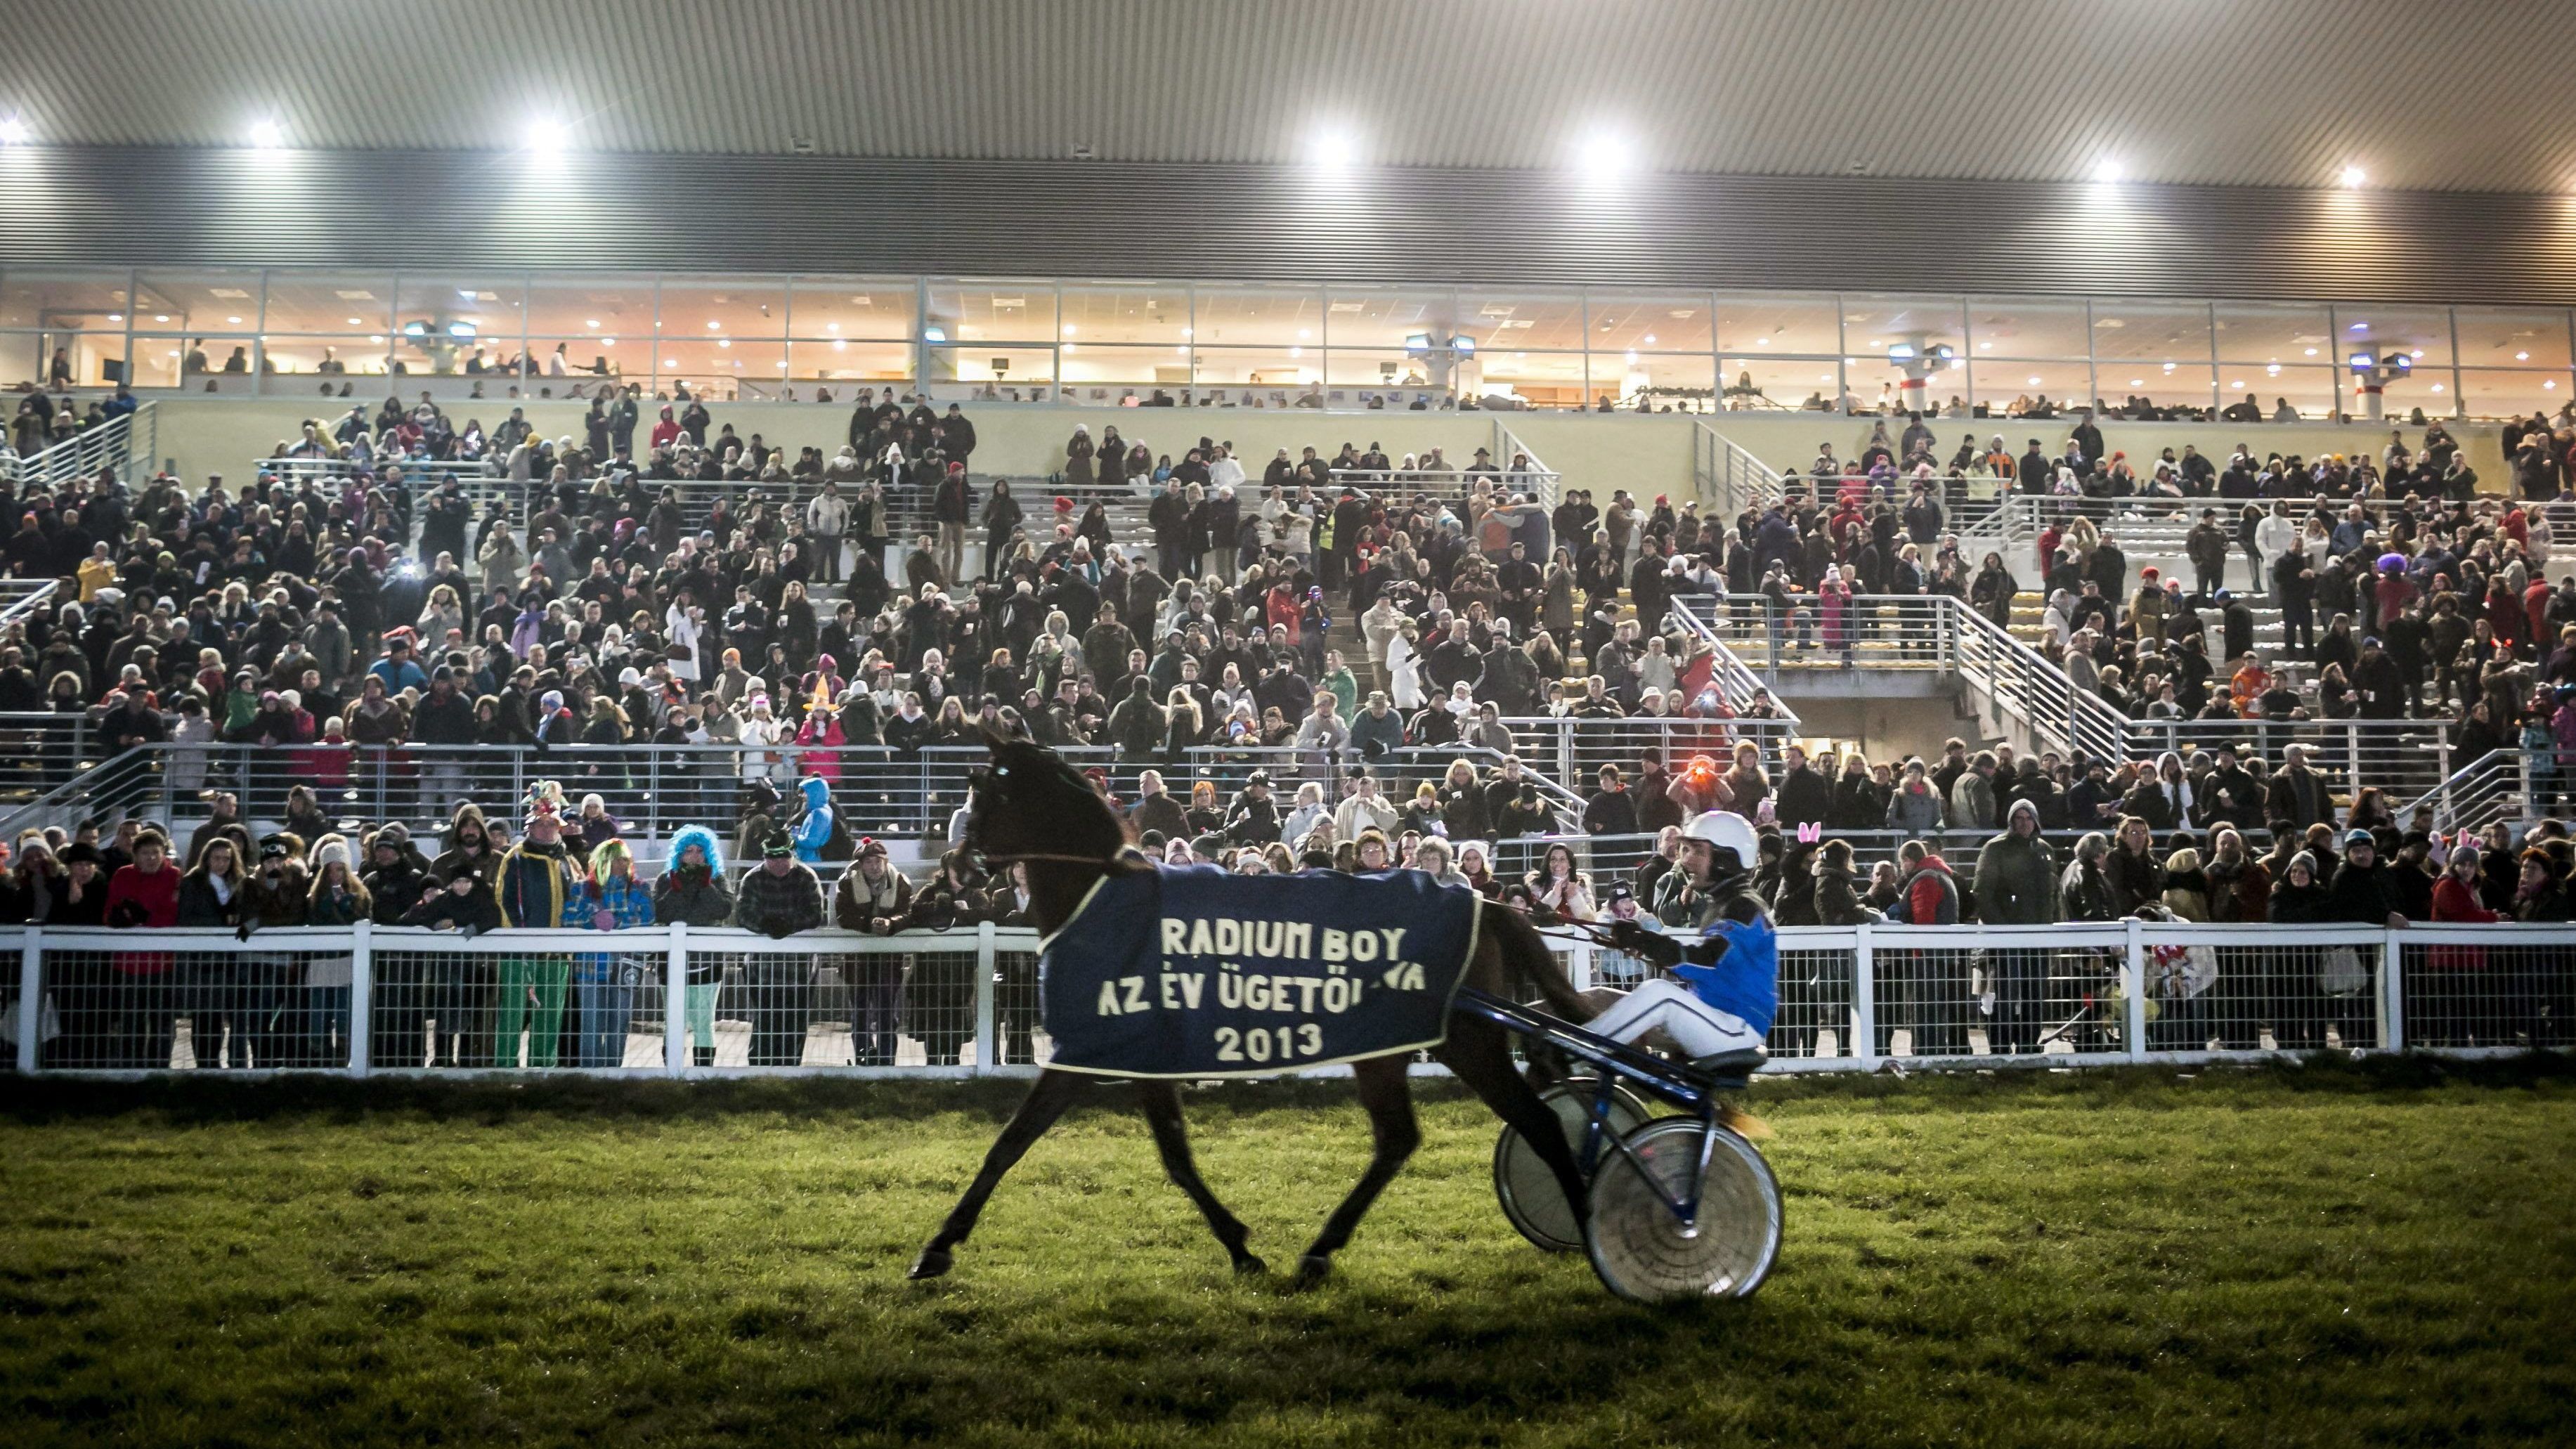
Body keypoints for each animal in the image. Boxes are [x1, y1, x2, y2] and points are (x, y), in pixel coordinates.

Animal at [906, 732, 1587, 1273]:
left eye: (982, 792)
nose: (954, 866)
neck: (1102, 901)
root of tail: (1484, 901)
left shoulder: (1100, 1050)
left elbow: (1031, 1143)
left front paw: (937, 1246)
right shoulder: (1124, 1057)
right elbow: (1151, 1152)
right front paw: (1239, 1244)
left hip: (1468, 1044)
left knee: (1540, 1124)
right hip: (1392, 1050)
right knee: (1399, 1139)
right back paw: (1322, 1249)